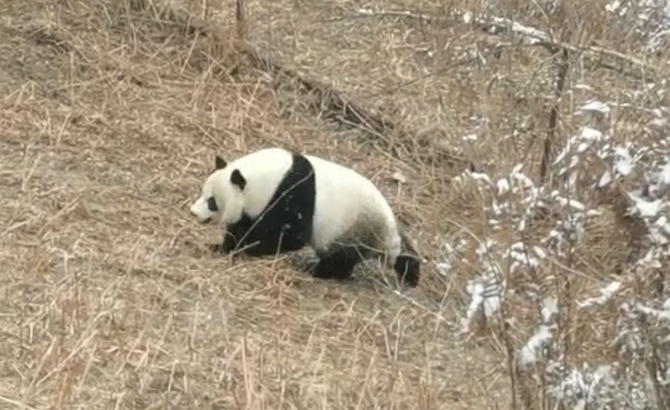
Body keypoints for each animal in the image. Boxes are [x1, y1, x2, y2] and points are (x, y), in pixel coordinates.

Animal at [189, 148, 420, 288]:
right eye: (202, 193)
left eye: (212, 202)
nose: (193, 212)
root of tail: (391, 231)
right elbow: (243, 225)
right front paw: (222, 246)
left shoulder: (292, 195)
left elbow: (291, 236)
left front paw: (246, 248)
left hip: (354, 228)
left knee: (340, 258)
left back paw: (318, 270)